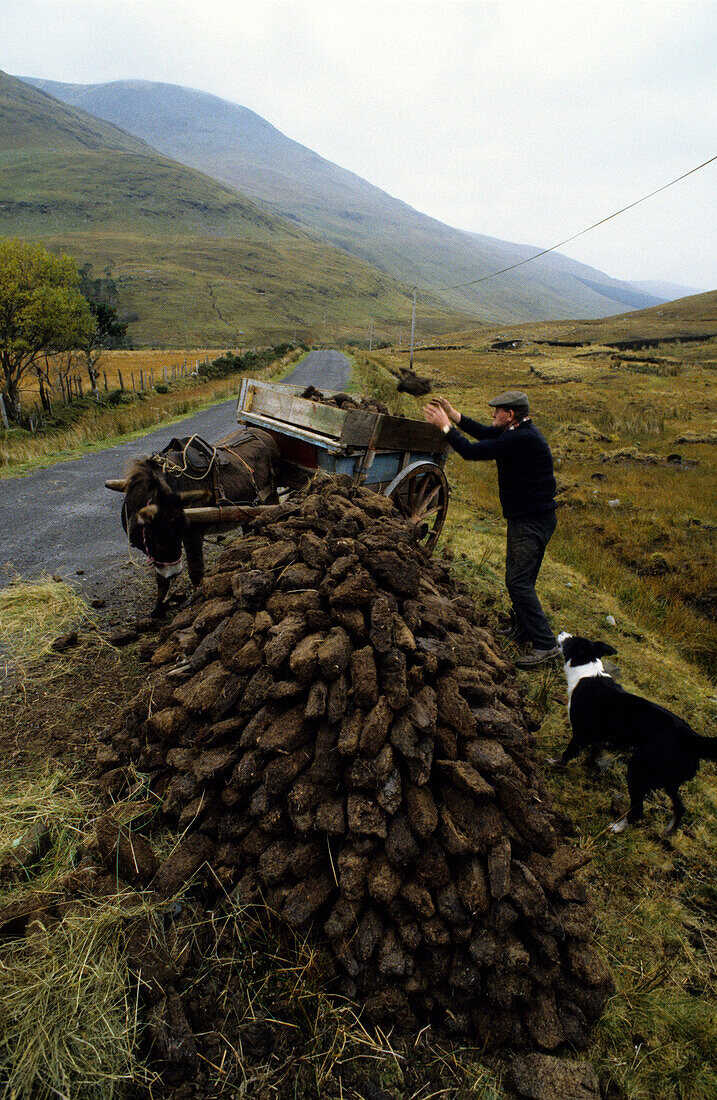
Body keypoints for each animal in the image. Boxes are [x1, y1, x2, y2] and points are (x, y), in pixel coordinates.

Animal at [552, 633, 712, 836]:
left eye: (571, 640)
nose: (562, 633)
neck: (587, 670)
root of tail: (692, 739)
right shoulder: (597, 737)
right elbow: (594, 753)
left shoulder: (580, 733)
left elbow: (567, 754)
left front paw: (554, 764)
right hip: (668, 779)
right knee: (680, 807)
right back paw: (668, 831)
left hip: (638, 769)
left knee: (638, 810)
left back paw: (617, 827)